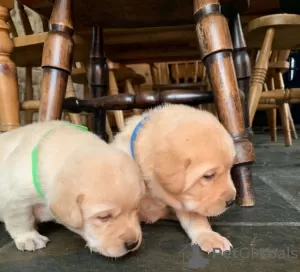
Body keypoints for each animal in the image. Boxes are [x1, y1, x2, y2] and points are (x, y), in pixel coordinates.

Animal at [0, 121, 145, 258]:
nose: (132, 244)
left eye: (137, 208)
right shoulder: (17, 199)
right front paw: (28, 238)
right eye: (103, 217)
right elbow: (20, 219)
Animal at [111, 103, 238, 253]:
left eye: (230, 169)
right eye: (208, 176)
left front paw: (209, 236)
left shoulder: (185, 200)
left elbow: (196, 219)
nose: (232, 201)